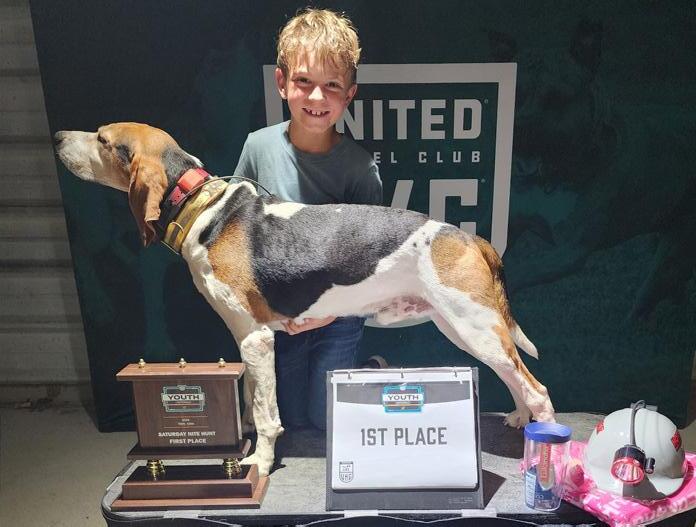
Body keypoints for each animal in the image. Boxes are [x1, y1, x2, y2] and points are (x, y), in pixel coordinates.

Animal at [55, 122, 555, 476]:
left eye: (102, 138)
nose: (58, 137)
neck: (202, 205)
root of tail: (469, 237)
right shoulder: (248, 342)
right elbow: (253, 399)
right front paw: (248, 440)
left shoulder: (255, 338)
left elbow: (266, 412)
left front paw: (258, 464)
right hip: (466, 329)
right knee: (515, 380)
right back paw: (518, 418)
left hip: (476, 328)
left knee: (539, 389)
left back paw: (540, 448)